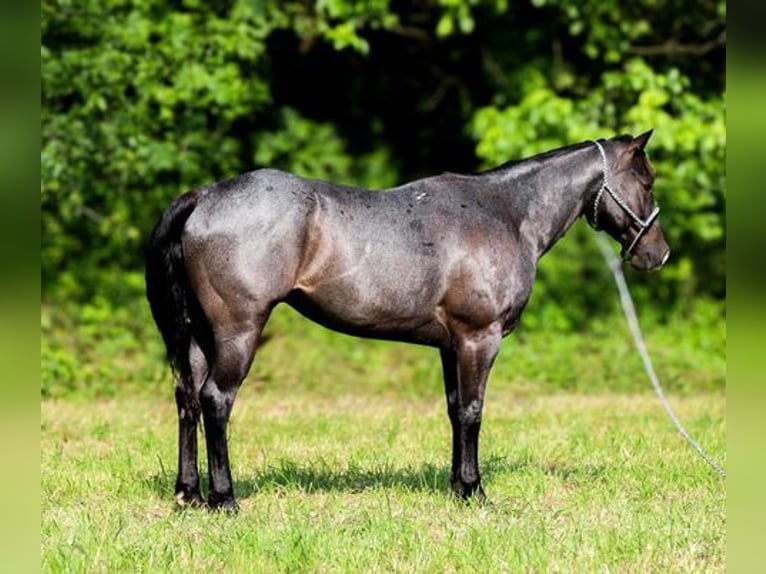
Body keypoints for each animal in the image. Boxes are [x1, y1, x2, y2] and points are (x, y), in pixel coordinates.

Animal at [146, 132, 672, 512]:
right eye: (647, 182)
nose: (658, 254)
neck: (505, 213)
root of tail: (206, 195)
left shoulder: (450, 345)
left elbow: (455, 410)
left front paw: (458, 487)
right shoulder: (479, 339)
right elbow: (473, 411)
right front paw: (475, 492)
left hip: (201, 336)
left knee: (188, 398)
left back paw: (189, 494)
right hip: (237, 332)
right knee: (216, 401)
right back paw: (224, 499)